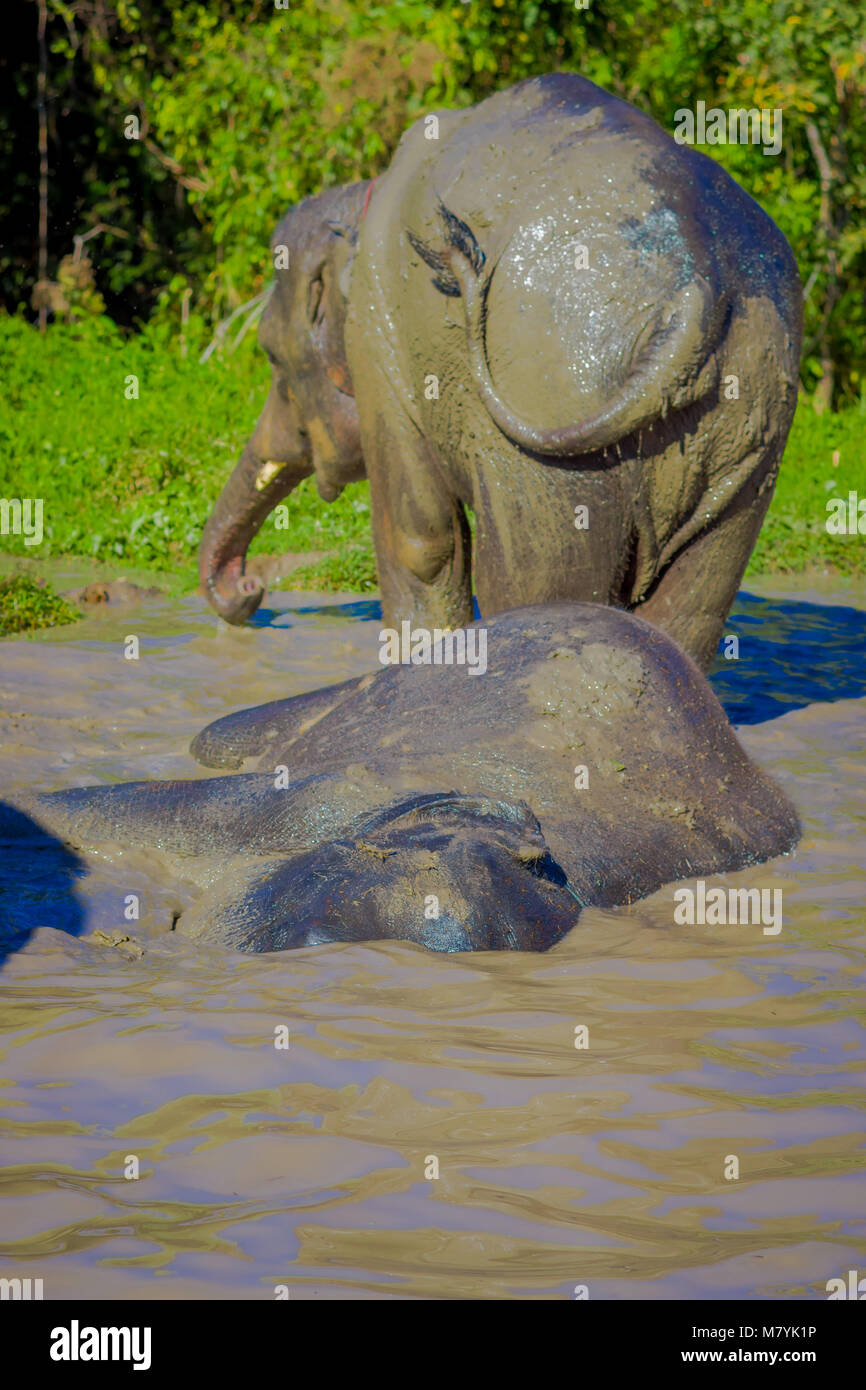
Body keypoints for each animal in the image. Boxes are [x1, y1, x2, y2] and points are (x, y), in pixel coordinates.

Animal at [199, 71, 802, 672]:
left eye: (271, 357)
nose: (250, 592)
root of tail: (698, 293)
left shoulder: (380, 346)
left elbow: (420, 538)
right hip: (747, 440)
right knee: (695, 605)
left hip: (551, 448)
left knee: (527, 586)